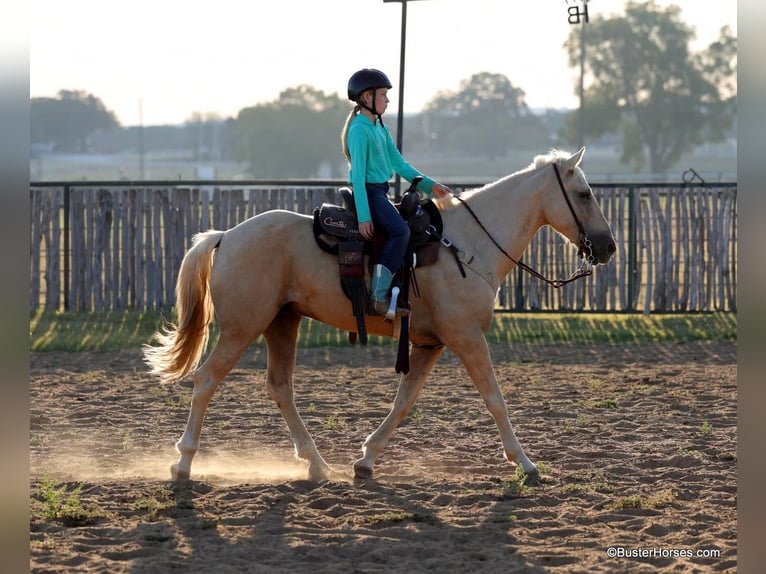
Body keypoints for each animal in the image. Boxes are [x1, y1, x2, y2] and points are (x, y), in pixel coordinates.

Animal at [143, 147, 616, 484]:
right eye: (584, 194)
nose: (608, 247)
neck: (469, 243)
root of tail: (226, 235)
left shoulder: (430, 344)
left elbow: (404, 402)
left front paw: (366, 459)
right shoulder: (466, 337)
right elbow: (495, 399)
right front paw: (525, 463)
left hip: (282, 323)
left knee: (280, 388)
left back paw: (316, 463)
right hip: (243, 328)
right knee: (207, 380)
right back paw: (182, 464)